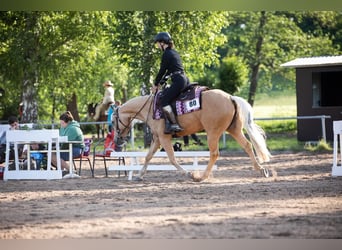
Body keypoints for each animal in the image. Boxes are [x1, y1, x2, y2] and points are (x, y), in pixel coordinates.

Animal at [113, 89, 272, 183]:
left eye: (113, 120)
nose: (118, 138)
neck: (150, 108)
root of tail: (230, 97)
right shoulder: (157, 139)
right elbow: (148, 156)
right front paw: (139, 175)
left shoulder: (164, 138)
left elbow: (172, 158)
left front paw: (189, 174)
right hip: (233, 129)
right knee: (247, 145)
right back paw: (261, 170)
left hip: (212, 132)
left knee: (214, 153)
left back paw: (202, 177)